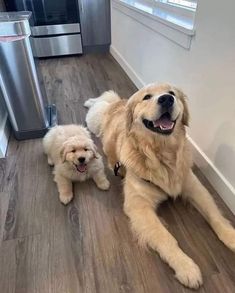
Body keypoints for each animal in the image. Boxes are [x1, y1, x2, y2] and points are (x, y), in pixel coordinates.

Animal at [85, 82, 235, 288]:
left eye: (172, 93)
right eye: (147, 97)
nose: (166, 99)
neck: (162, 154)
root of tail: (120, 103)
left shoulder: (193, 185)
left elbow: (215, 215)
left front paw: (231, 236)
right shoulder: (139, 206)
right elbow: (166, 238)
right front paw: (185, 266)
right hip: (95, 122)